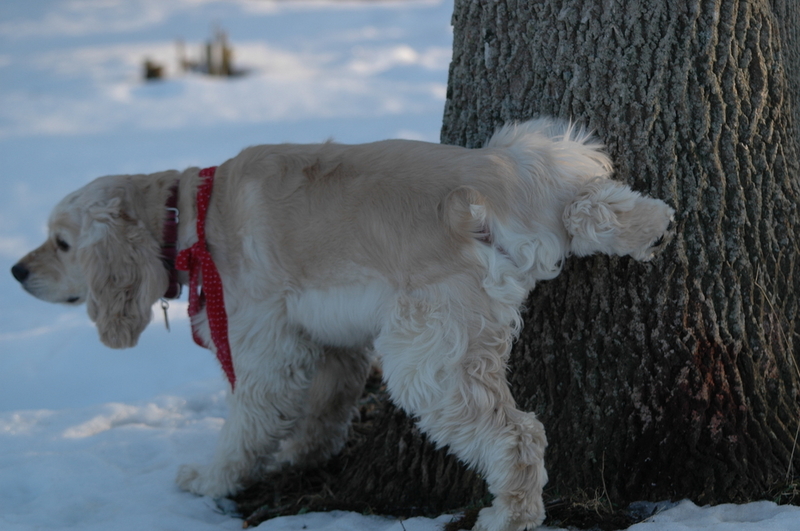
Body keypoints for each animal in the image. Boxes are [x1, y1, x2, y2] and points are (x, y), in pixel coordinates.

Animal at [12, 120, 676, 531]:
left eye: (62, 243)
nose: (16, 271)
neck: (192, 214)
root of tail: (499, 194)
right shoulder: (329, 342)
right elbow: (321, 412)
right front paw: (302, 458)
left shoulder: (262, 343)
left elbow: (245, 426)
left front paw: (209, 481)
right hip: (535, 148)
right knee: (595, 195)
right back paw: (651, 221)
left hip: (427, 358)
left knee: (520, 435)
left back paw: (508, 516)